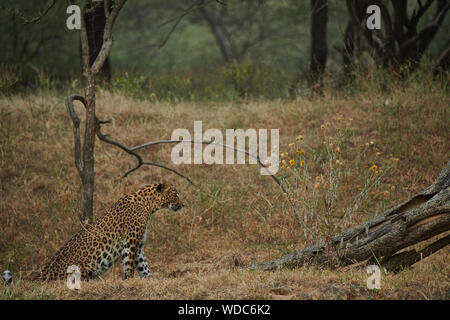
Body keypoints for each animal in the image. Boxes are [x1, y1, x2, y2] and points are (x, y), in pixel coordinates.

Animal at [1, 182, 184, 284]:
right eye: (175, 194)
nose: (183, 204)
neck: (148, 205)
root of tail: (43, 272)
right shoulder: (131, 242)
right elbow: (129, 264)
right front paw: (129, 280)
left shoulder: (138, 245)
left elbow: (143, 266)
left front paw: (150, 280)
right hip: (85, 268)